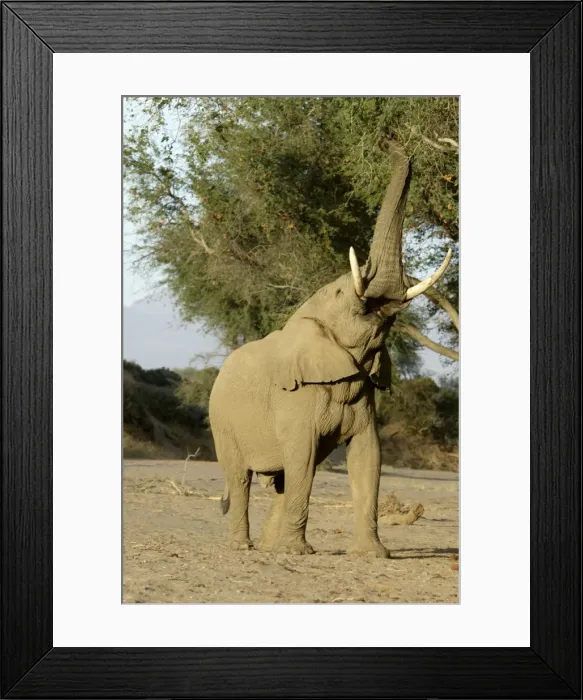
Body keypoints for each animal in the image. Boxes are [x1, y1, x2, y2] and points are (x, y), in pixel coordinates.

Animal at [209, 139, 451, 557]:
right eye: (340, 294)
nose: (396, 147)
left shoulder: (365, 395)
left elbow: (367, 457)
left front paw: (374, 555)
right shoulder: (295, 398)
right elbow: (304, 458)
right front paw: (298, 552)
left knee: (280, 480)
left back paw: (270, 548)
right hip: (221, 421)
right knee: (240, 477)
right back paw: (246, 547)